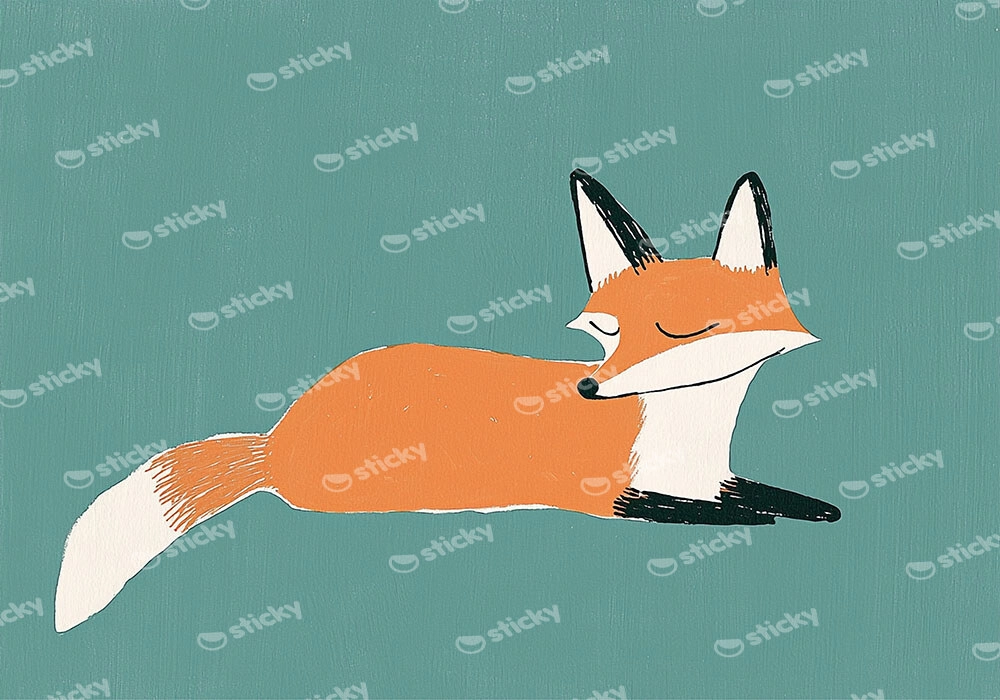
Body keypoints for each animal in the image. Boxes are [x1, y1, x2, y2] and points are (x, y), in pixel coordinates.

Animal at [55, 169, 840, 633]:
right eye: (605, 332)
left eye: (677, 331)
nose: (587, 388)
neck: (682, 436)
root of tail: (273, 439)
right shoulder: (601, 493)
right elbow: (725, 514)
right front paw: (759, 519)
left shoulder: (711, 476)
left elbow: (781, 500)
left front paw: (816, 510)